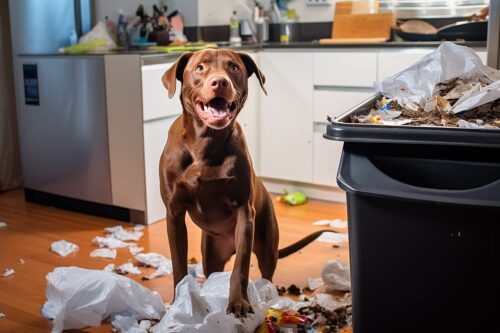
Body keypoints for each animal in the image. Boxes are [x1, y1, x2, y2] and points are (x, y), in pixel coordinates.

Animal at [160, 49, 330, 316]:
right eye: (199, 68)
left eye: (233, 67)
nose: (220, 82)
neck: (205, 143)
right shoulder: (174, 214)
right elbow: (179, 266)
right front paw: (178, 302)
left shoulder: (243, 212)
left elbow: (240, 266)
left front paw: (239, 302)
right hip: (211, 255)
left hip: (266, 244)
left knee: (265, 272)